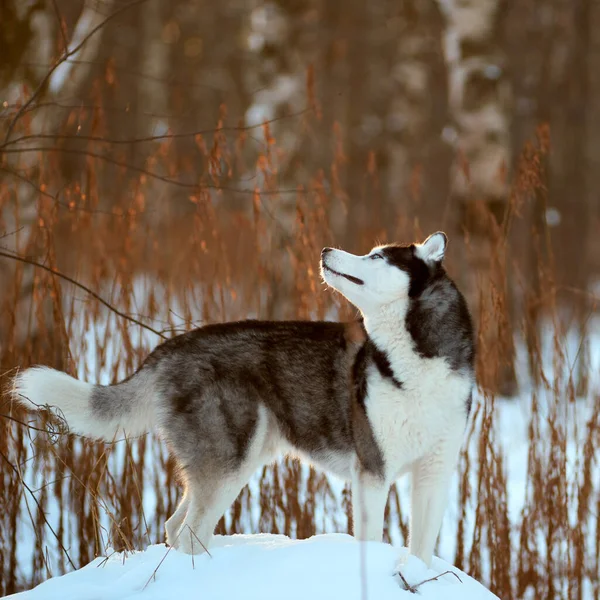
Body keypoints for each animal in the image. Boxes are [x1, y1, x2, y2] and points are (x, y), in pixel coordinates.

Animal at [12, 232, 474, 564]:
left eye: (378, 258)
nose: (326, 249)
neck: (415, 363)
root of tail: (171, 347)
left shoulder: (434, 475)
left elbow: (423, 552)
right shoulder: (371, 473)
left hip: (235, 463)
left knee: (175, 527)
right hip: (229, 465)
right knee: (187, 533)